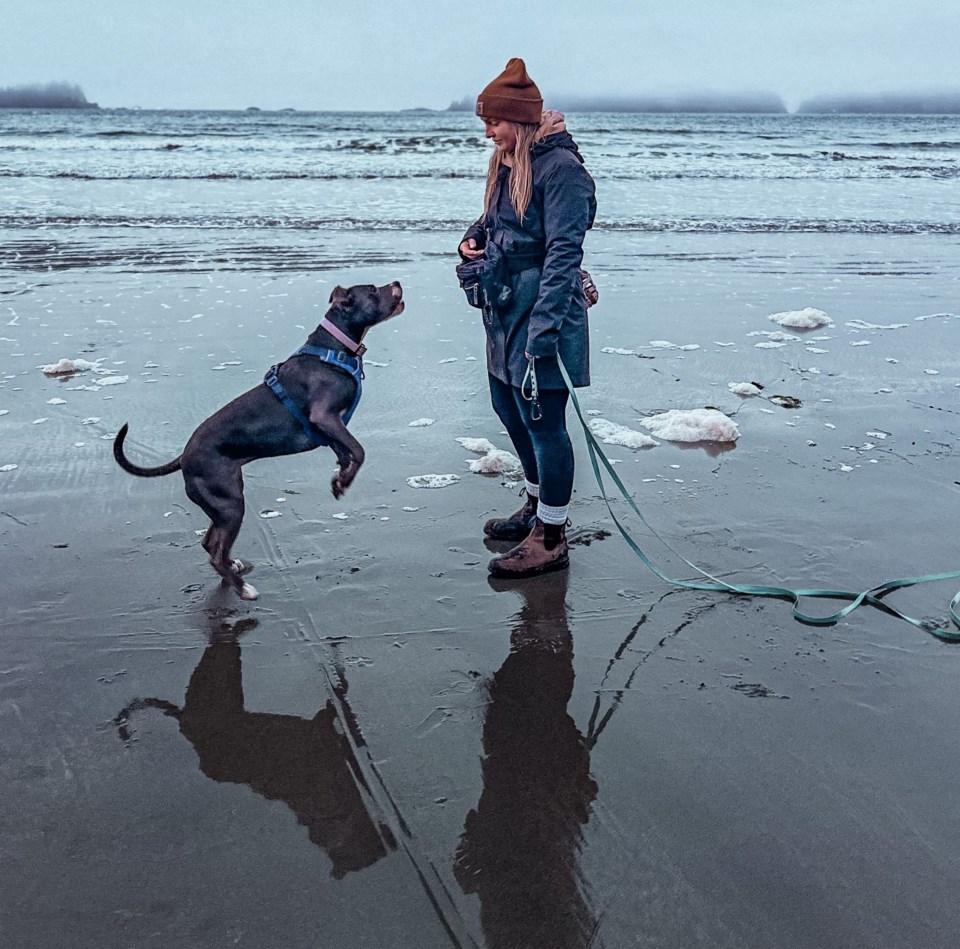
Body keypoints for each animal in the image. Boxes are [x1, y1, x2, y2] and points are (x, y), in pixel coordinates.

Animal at [114, 278, 404, 600]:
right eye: (373, 290)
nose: (396, 282)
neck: (334, 348)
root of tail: (184, 457)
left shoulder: (329, 426)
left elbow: (345, 452)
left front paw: (339, 479)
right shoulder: (324, 416)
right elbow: (359, 450)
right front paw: (345, 478)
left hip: (223, 505)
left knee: (209, 542)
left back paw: (234, 569)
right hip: (230, 504)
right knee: (215, 552)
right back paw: (243, 589)